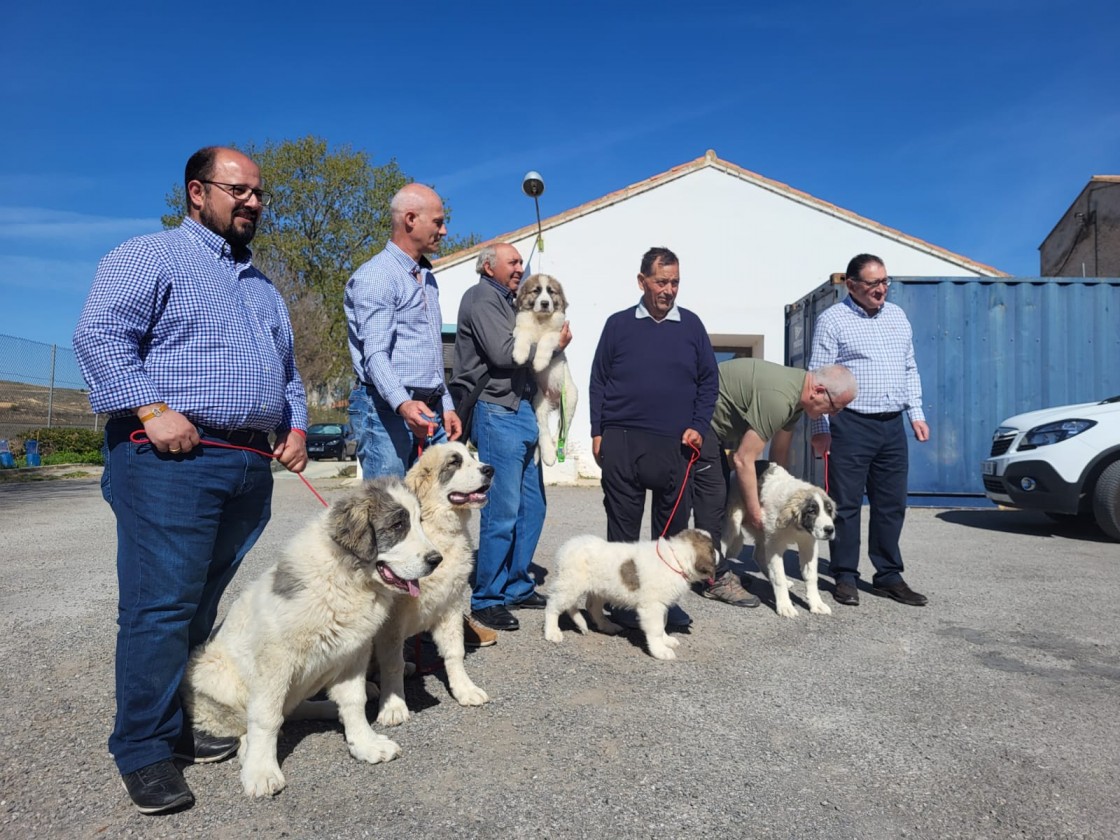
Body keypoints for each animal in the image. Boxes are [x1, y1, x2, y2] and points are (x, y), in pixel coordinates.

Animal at [510, 274, 577, 468]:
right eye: (536, 291)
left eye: (551, 292)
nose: (546, 303)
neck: (540, 320)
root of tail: (553, 400)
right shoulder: (520, 329)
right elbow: (523, 335)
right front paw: (519, 355)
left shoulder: (558, 334)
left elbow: (546, 339)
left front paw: (539, 362)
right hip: (539, 402)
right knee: (543, 429)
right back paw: (548, 454)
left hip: (570, 397)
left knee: (564, 425)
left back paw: (558, 446)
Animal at [544, 528, 716, 663]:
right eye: (714, 550)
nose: (720, 555)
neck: (675, 560)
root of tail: (566, 547)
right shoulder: (652, 607)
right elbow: (656, 628)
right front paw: (660, 651)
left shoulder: (661, 604)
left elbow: (663, 624)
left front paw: (666, 640)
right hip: (571, 584)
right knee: (553, 606)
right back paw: (552, 632)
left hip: (598, 588)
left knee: (591, 607)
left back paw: (606, 626)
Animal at [721, 461, 837, 618]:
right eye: (812, 511)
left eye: (829, 511)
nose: (830, 530)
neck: (794, 525)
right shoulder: (775, 545)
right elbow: (779, 577)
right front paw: (785, 605)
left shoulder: (808, 544)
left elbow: (811, 576)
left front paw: (816, 603)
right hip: (733, 524)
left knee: (758, 556)